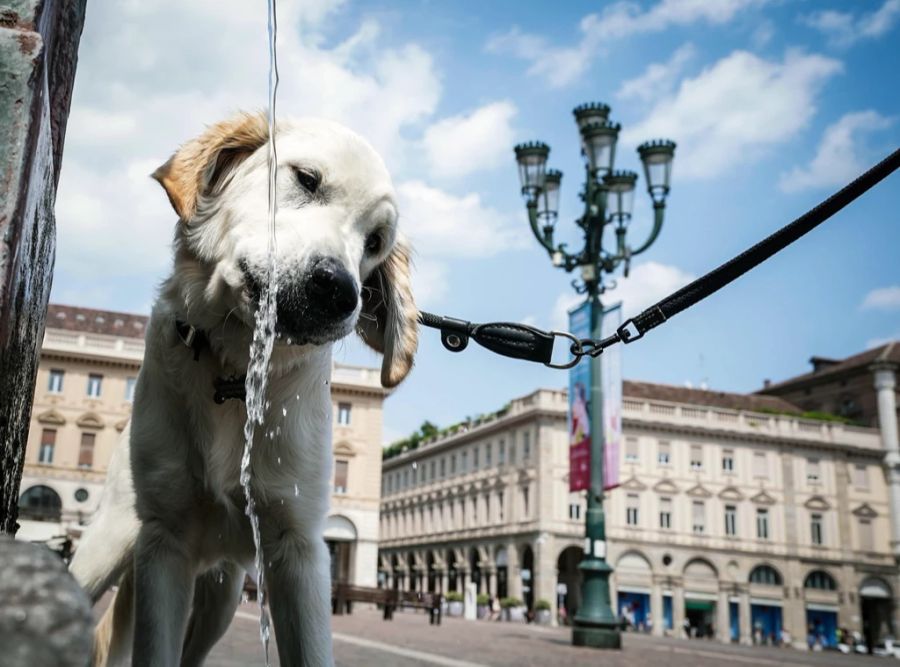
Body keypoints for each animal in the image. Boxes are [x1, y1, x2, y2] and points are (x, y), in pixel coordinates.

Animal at [69, 113, 418, 667]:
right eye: (307, 179)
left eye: (375, 243)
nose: (340, 292)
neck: (233, 369)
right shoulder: (163, 543)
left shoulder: (298, 548)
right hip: (105, 547)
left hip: (224, 591)